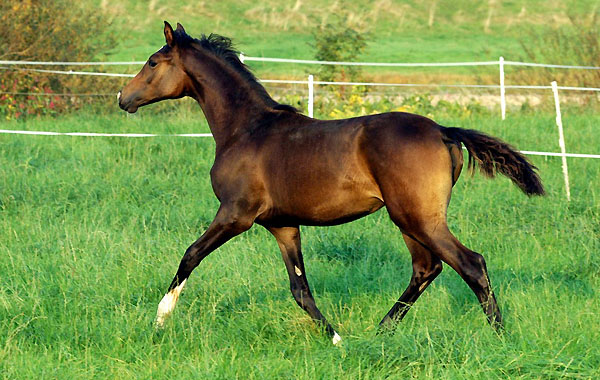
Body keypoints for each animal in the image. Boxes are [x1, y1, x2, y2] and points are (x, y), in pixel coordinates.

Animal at [117, 22, 544, 346]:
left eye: (153, 62)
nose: (123, 97)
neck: (246, 129)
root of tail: (443, 130)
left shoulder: (235, 214)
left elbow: (190, 255)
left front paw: (159, 319)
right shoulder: (283, 225)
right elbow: (300, 289)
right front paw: (337, 340)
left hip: (418, 217)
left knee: (471, 264)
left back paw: (501, 336)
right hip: (410, 220)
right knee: (426, 268)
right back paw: (380, 333)